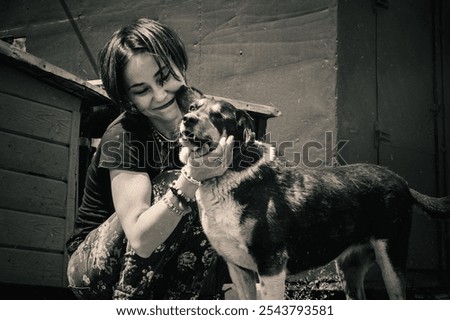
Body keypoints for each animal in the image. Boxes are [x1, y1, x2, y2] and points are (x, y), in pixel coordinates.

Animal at [178, 95, 448, 300]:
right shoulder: (239, 270)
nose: (186, 120)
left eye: (217, 116)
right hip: (350, 268)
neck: (230, 172)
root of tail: (404, 183)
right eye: (192, 108)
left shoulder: (271, 263)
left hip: (391, 258)